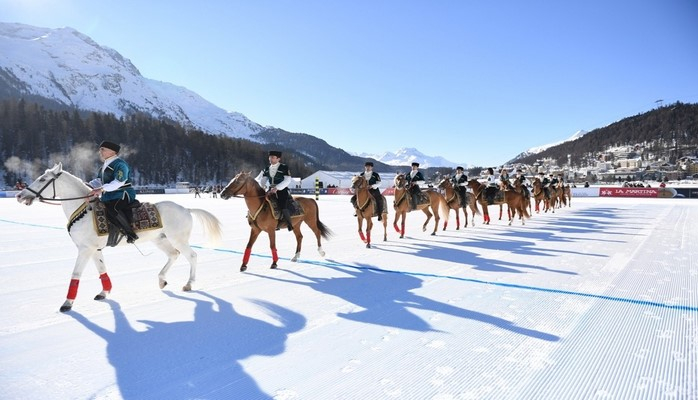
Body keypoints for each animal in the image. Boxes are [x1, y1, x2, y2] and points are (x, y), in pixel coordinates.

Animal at [16, 163, 222, 312]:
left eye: (42, 179)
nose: (19, 195)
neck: (83, 211)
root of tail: (186, 209)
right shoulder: (94, 249)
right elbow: (102, 270)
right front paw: (104, 292)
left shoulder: (85, 249)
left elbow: (76, 274)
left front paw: (67, 303)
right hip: (160, 239)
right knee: (173, 255)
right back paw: (161, 279)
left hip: (178, 238)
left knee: (192, 256)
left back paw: (188, 284)